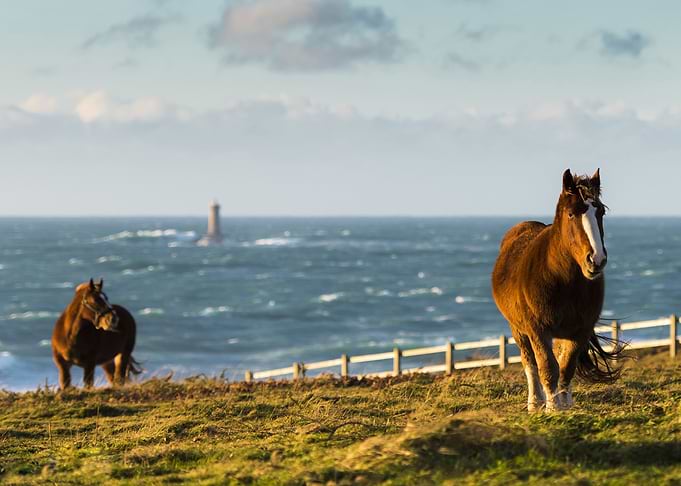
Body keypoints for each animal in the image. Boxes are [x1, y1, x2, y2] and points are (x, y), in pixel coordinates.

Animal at [491, 169, 624, 412]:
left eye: (600, 212)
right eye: (571, 214)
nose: (596, 260)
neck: (562, 281)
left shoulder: (579, 331)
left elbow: (566, 367)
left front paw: (563, 405)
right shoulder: (538, 330)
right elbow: (546, 366)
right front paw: (552, 408)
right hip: (518, 329)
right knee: (530, 363)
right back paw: (535, 402)